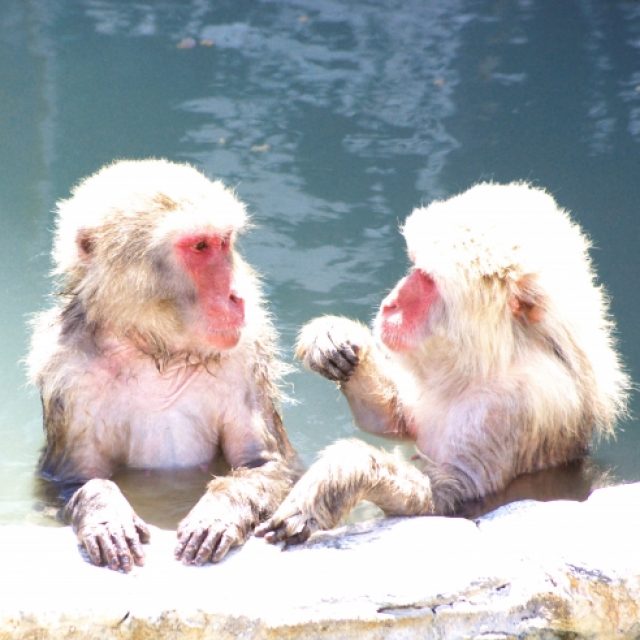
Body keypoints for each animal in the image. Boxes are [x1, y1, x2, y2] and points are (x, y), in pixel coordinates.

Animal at [27, 159, 300, 568]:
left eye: (223, 242)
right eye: (200, 247)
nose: (236, 296)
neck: (158, 351)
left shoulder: (246, 352)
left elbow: (262, 464)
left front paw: (218, 511)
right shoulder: (67, 371)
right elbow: (73, 478)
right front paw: (104, 511)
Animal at [256, 181, 632, 544]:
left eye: (427, 279)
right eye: (415, 266)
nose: (391, 303)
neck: (495, 356)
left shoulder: (512, 407)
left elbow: (452, 497)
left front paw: (340, 473)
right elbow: (393, 422)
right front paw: (331, 338)